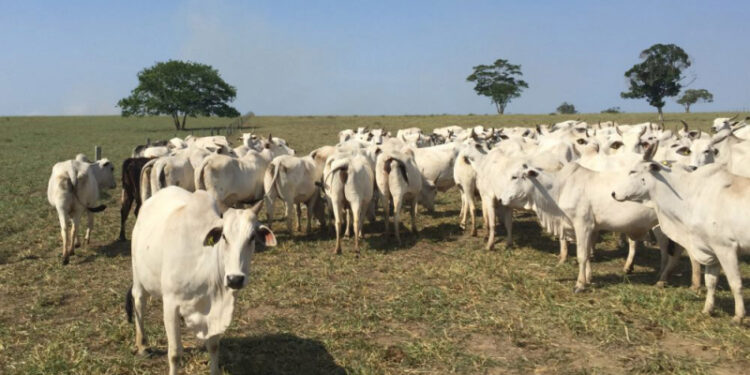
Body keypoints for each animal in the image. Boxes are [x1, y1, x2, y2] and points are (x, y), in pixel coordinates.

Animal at [128, 188, 278, 375]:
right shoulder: (170, 304)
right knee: (139, 302)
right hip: (138, 273)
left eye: (251, 238)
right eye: (224, 237)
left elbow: (213, 346)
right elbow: (175, 353)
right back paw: (142, 345)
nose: (235, 279)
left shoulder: (215, 309)